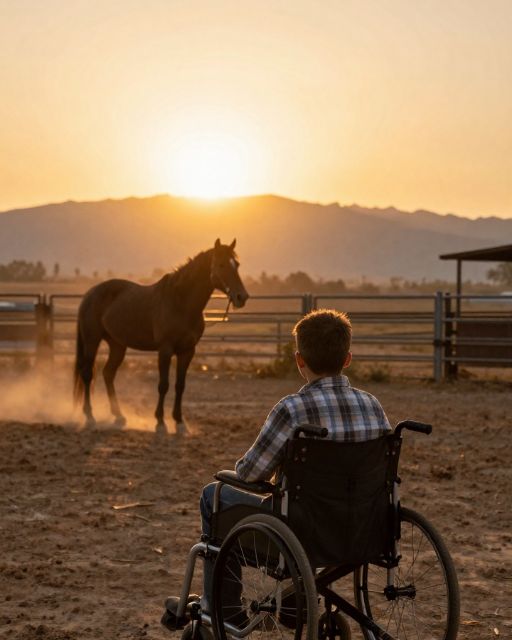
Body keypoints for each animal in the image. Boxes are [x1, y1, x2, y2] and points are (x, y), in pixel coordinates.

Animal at [73, 239, 249, 433]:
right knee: (87, 374)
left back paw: (118, 415)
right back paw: (90, 416)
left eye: (237, 264)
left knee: (108, 373)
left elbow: (180, 385)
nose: (241, 296)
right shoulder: (165, 350)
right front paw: (160, 421)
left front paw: (179, 421)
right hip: (92, 341)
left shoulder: (187, 351)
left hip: (117, 345)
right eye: (221, 264)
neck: (181, 303)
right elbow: (163, 385)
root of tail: (90, 294)